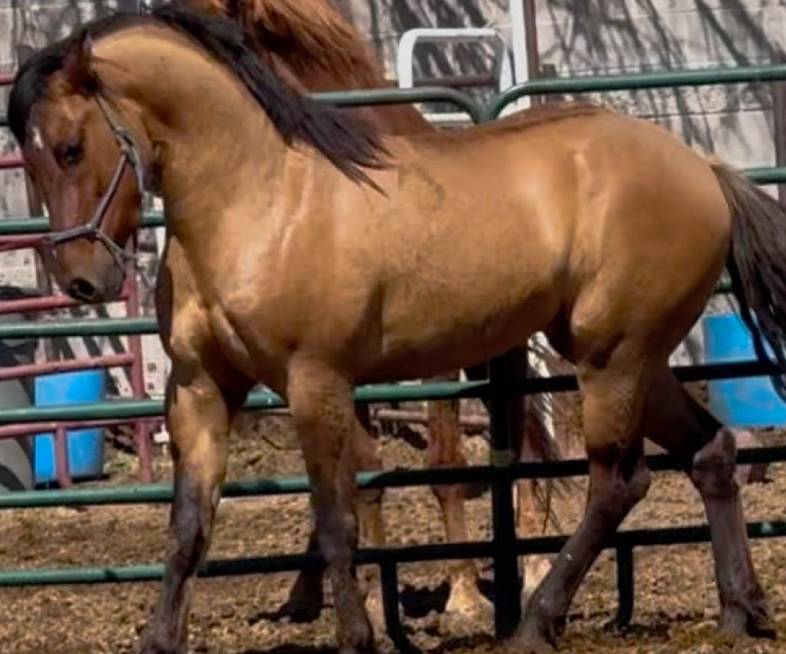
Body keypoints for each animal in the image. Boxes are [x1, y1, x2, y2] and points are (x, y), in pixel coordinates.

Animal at [10, 5, 784, 653]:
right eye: (32, 155)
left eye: (72, 147)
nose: (83, 280)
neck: (262, 201)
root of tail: (704, 167)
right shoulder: (200, 389)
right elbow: (188, 527)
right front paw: (160, 640)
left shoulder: (316, 381)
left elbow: (336, 520)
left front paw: (360, 637)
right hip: (633, 358)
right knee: (710, 451)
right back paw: (738, 613)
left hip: (609, 359)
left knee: (617, 485)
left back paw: (535, 623)